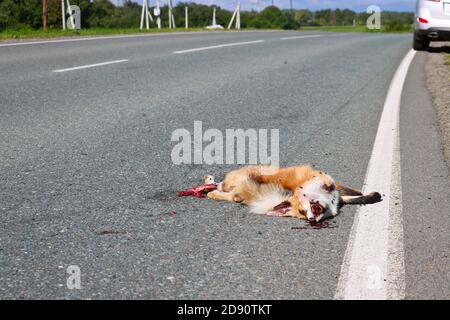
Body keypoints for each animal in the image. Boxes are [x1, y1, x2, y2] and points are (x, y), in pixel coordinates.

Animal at [206, 166, 382, 221]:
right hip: (235, 191)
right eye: (303, 213)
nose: (311, 220)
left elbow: (356, 195)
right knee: (220, 192)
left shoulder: (335, 191)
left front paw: (373, 195)